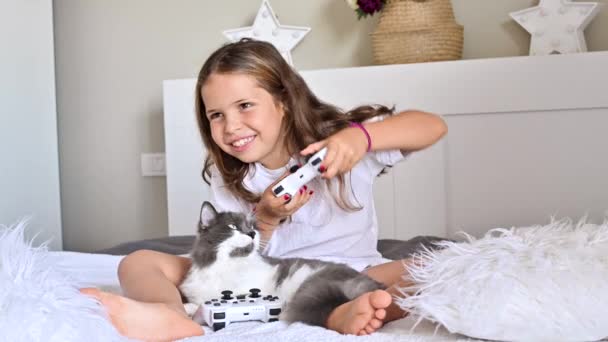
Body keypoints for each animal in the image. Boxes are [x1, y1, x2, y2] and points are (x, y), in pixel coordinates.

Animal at [178, 202, 384, 328]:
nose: (252, 234)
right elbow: (196, 303)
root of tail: (375, 286)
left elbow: (202, 304)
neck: (226, 266)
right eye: (233, 227)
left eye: (251, 227)